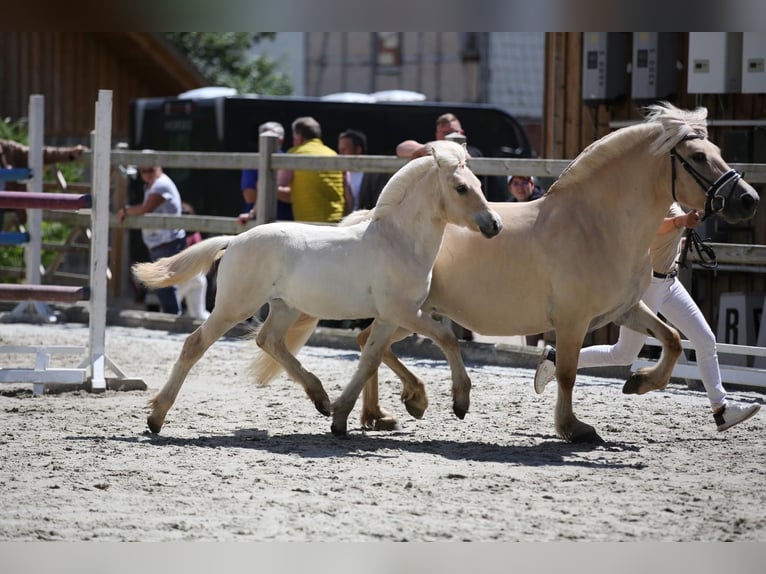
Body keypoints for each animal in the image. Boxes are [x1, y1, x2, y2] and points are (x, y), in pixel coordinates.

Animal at [132, 142, 504, 434]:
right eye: (461, 187)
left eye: (478, 183)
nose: (495, 225)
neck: (398, 242)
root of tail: (235, 240)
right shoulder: (405, 312)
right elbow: (447, 338)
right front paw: (458, 401)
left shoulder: (389, 317)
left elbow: (370, 357)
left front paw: (345, 417)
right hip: (233, 306)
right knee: (195, 344)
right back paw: (156, 418)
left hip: (285, 306)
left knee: (269, 341)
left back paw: (321, 398)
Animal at [254, 102, 760, 446]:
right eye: (698, 156)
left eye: (717, 149)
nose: (748, 200)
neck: (594, 223)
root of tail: (369, 221)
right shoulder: (573, 319)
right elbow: (568, 372)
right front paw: (574, 428)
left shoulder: (622, 309)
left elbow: (672, 341)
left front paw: (638, 384)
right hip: (409, 312)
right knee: (371, 345)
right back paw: (391, 407)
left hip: (405, 314)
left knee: (368, 345)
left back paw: (376, 414)